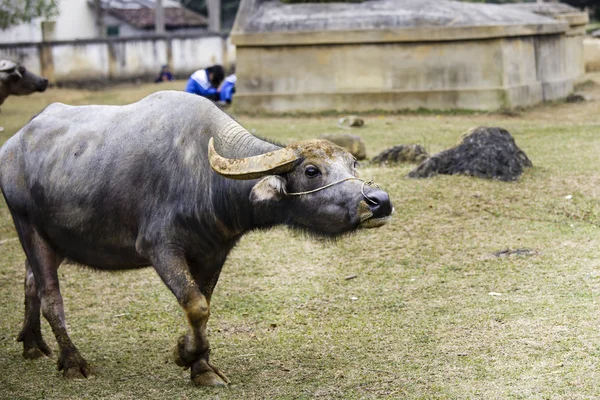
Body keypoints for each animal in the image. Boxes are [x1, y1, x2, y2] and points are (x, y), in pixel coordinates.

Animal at [0, 91, 394, 388]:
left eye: (353, 165)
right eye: (312, 171)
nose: (379, 200)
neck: (205, 179)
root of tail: (13, 145)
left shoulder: (214, 252)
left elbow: (204, 303)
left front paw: (200, 365)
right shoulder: (159, 248)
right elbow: (196, 305)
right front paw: (185, 355)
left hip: (55, 239)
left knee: (31, 282)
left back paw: (33, 344)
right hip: (27, 225)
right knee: (51, 297)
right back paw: (72, 362)